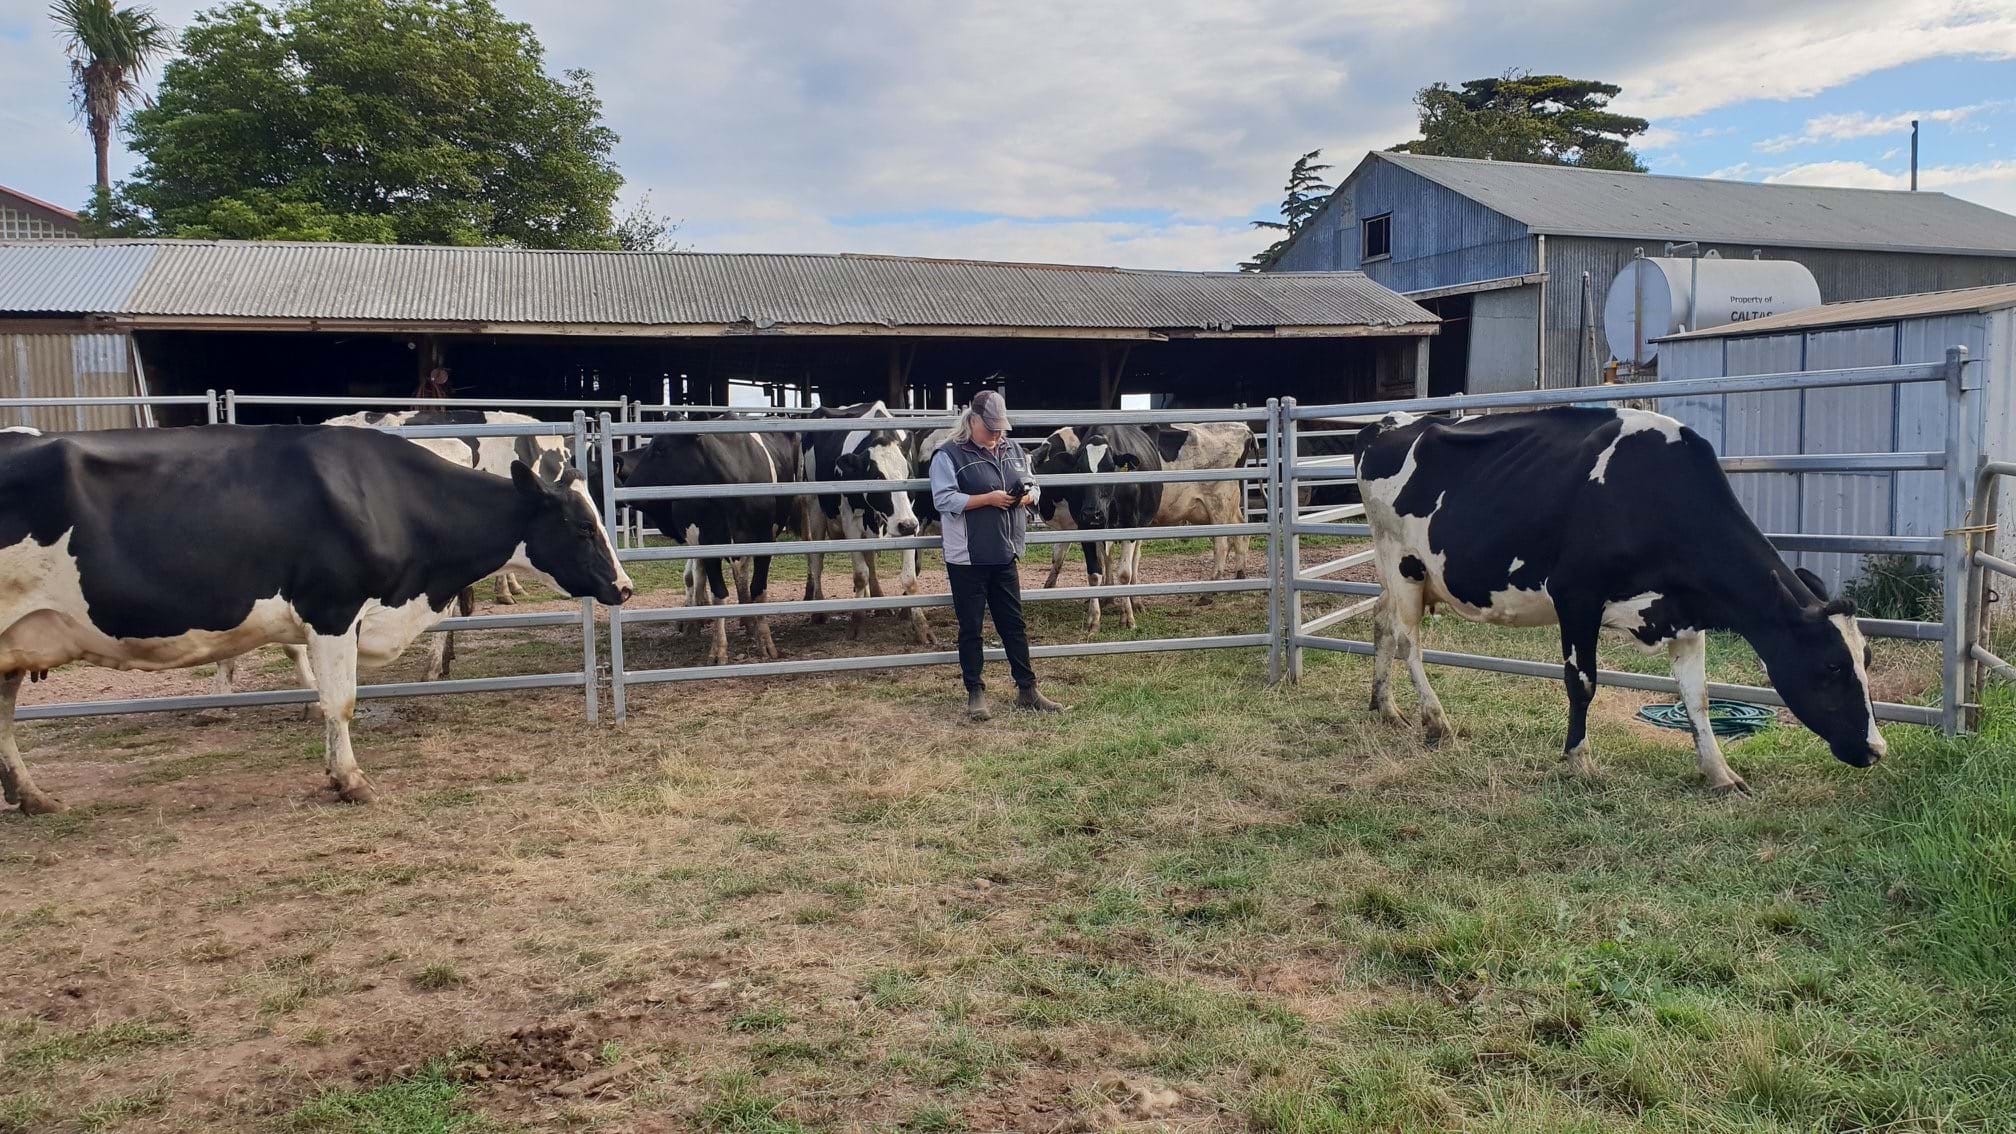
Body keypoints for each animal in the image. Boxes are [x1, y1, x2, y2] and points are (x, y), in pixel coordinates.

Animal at [0, 425, 631, 814]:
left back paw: (31, 796)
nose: (623, 587)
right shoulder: (332, 610)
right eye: (581, 527)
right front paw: (351, 781)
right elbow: (341, 702)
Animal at [608, 425, 802, 666]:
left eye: (661, 448)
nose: (626, 489)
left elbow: (758, 590)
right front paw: (718, 650)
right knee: (697, 577)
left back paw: (746, 620)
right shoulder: (709, 544)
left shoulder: (765, 543)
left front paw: (766, 643)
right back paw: (697, 620)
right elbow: (719, 593)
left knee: (738, 574)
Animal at [801, 402, 925, 640]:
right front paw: (856, 623)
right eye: (877, 477)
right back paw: (819, 611)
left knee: (870, 558)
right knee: (816, 559)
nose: (906, 525)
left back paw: (876, 600)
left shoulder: (911, 517)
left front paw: (922, 627)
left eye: (909, 474)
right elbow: (860, 574)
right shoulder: (850, 522)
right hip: (815, 507)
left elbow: (909, 577)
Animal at [1355, 406, 1886, 793]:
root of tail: (1385, 423)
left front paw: (1720, 773)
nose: (1876, 749)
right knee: (1409, 640)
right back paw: (1435, 721)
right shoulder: (1576, 595)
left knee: (1381, 620)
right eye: (1832, 666)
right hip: (1401, 562)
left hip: (1401, 575)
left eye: (1866, 658)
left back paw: (1385, 705)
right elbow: (1582, 682)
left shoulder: (1685, 615)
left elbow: (1698, 697)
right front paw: (1578, 759)